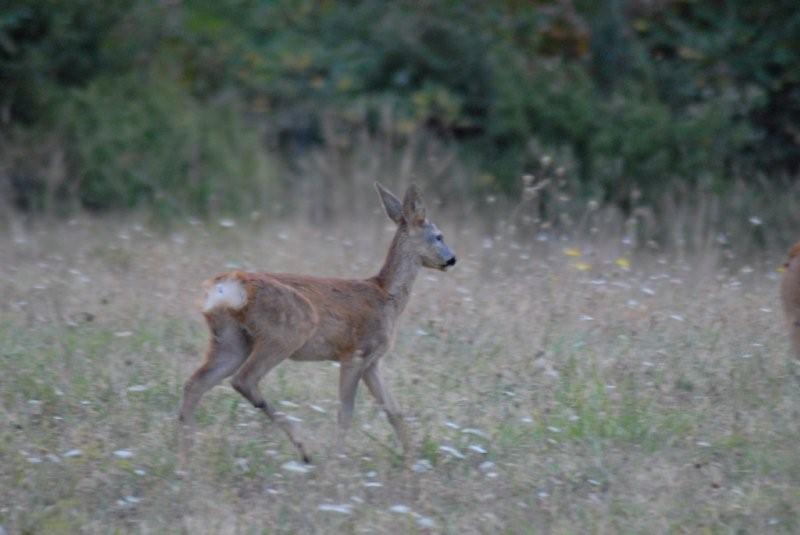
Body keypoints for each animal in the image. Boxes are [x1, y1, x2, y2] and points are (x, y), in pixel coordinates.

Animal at [181, 182, 456, 462]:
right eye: (439, 236)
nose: (452, 259)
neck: (386, 296)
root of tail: (228, 286)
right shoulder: (355, 353)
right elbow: (345, 413)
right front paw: (338, 459)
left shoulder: (373, 361)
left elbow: (393, 410)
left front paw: (412, 458)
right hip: (286, 330)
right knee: (243, 379)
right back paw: (304, 447)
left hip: (232, 339)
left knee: (195, 383)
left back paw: (186, 452)